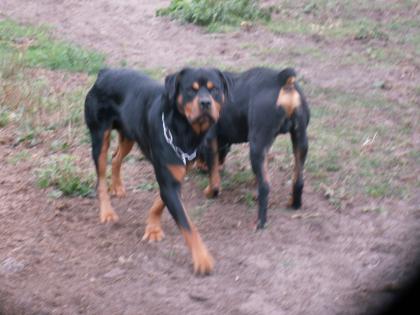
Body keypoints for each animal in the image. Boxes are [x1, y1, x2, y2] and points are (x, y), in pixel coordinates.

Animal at [85, 68, 230, 276]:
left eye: (214, 89)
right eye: (190, 90)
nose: (205, 103)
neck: (184, 131)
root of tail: (105, 72)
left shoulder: (176, 174)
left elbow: (160, 202)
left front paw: (152, 228)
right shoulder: (168, 179)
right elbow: (187, 224)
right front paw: (202, 258)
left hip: (129, 134)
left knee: (116, 157)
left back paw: (117, 186)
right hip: (99, 135)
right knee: (101, 177)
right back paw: (107, 211)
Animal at [199, 67, 310, 230]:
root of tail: (281, 80)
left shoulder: (209, 140)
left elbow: (214, 178)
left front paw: (210, 192)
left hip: (256, 146)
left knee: (265, 187)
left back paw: (260, 222)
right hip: (300, 140)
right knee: (298, 179)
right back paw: (294, 204)